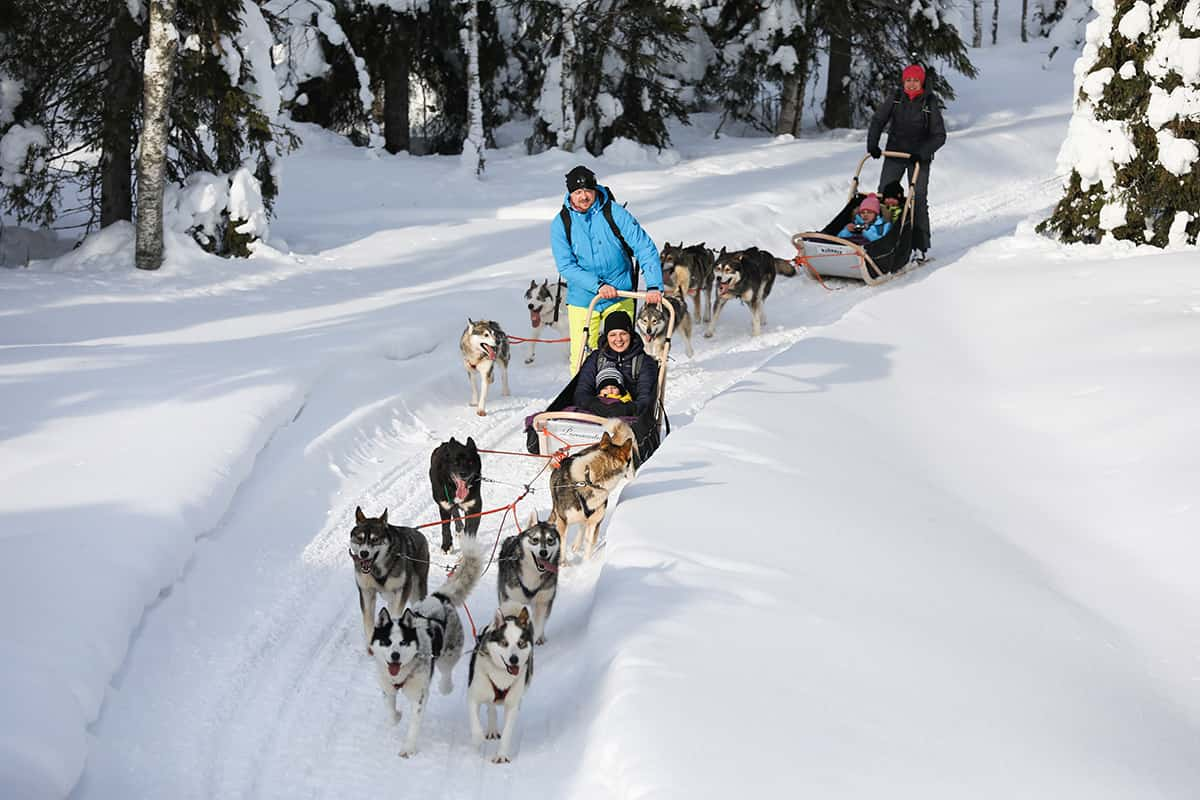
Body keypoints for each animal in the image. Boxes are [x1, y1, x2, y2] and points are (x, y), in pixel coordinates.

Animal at [350, 510, 429, 652]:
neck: (377, 569)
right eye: (359, 538)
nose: (364, 553)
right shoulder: (366, 592)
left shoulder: (402, 589)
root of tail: (418, 533)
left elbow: (396, 614)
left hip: (416, 590)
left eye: (375, 539)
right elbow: (368, 620)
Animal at [369, 537, 482, 758]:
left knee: (446, 671)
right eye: (387, 642)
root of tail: (438, 597)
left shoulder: (419, 695)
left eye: (403, 642)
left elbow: (414, 724)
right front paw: (397, 715)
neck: (401, 676)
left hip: (448, 653)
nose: (395, 656)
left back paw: (446, 686)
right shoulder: (387, 687)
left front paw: (408, 748)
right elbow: (390, 709)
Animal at [468, 606, 535, 762]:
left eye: (520, 643)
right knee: (491, 706)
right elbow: (475, 722)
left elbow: (507, 732)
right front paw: (478, 740)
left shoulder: (513, 705)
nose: (514, 659)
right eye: (505, 643)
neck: (502, 675)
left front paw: (501, 756)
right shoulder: (474, 696)